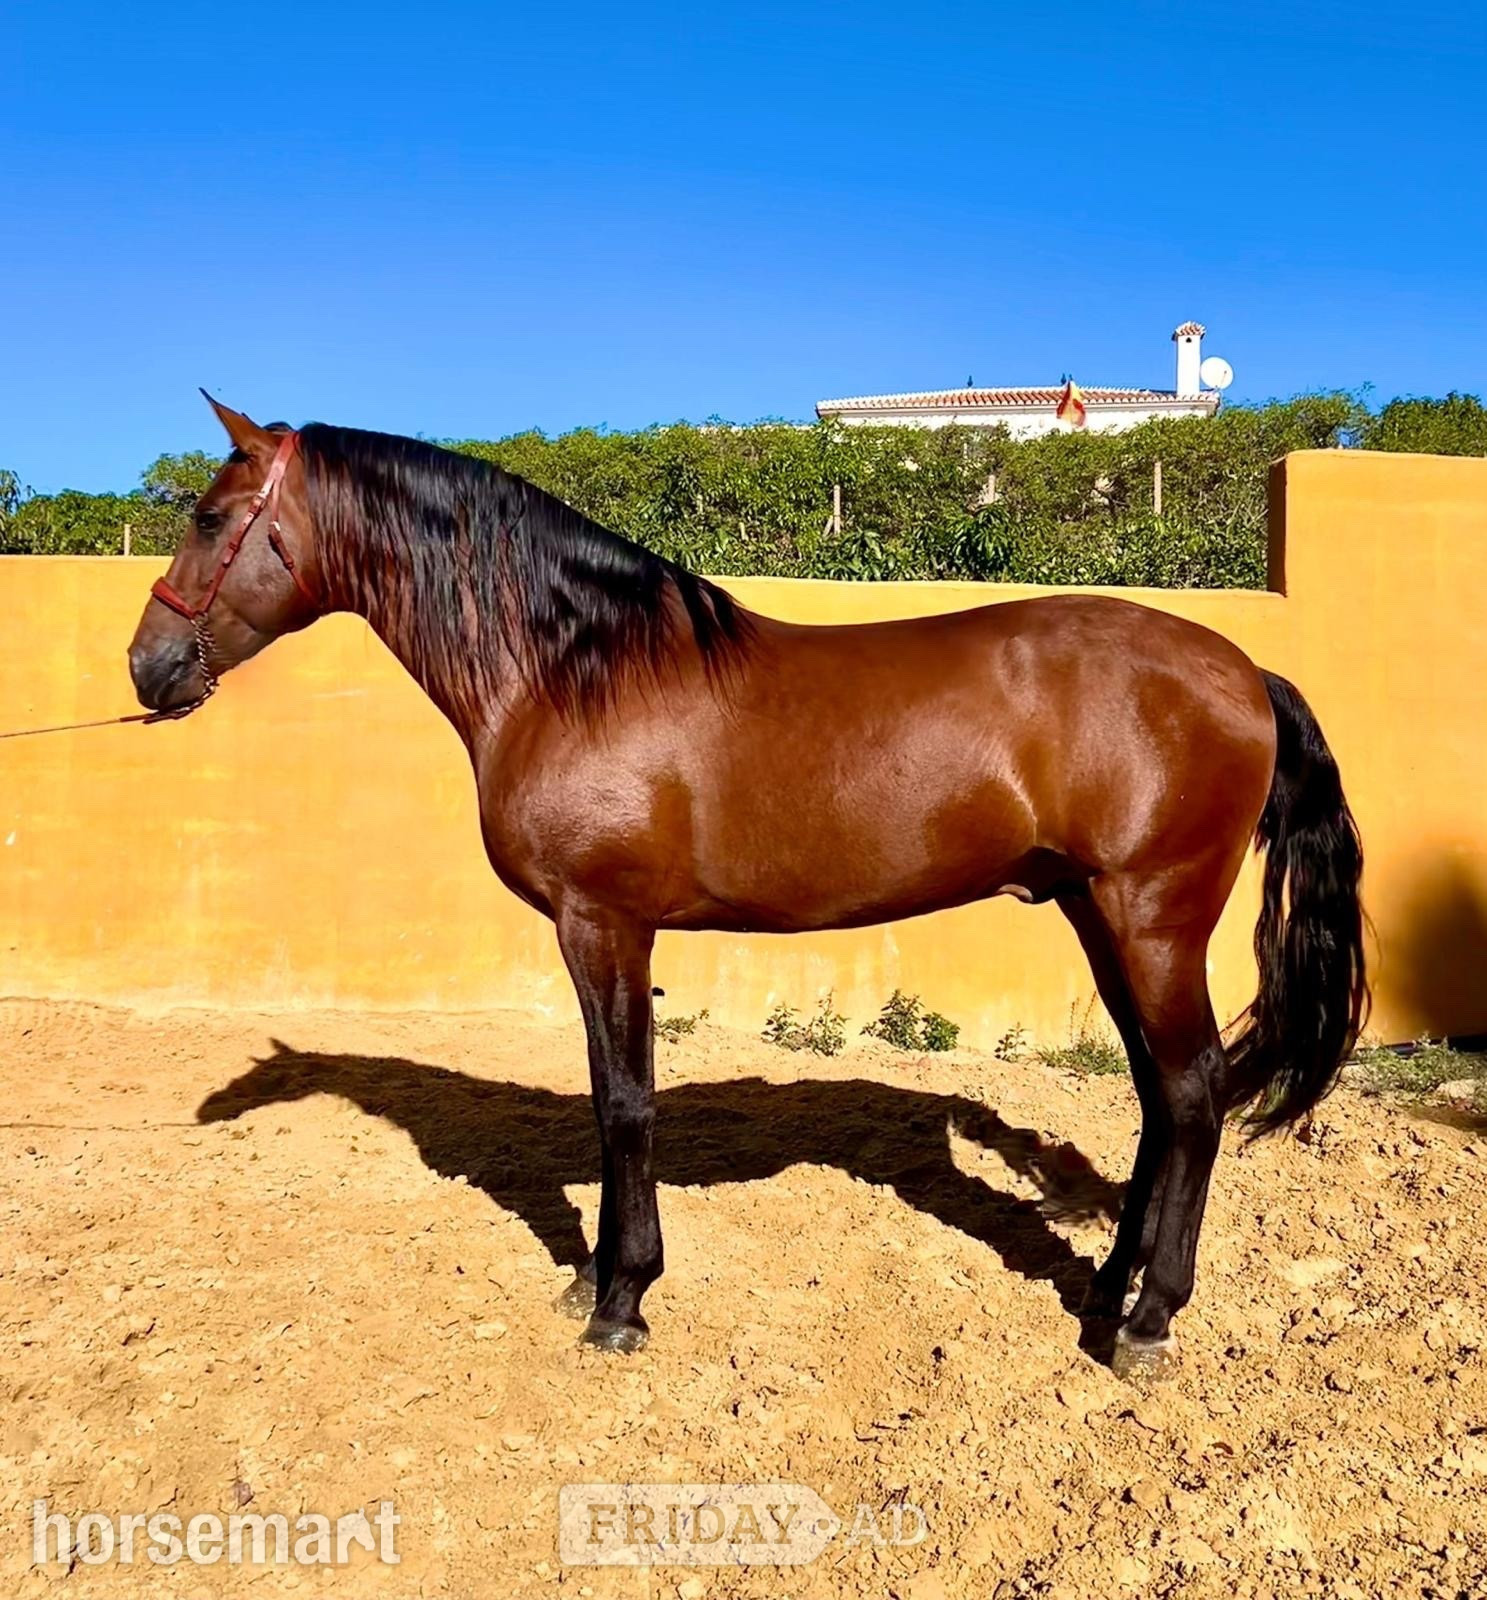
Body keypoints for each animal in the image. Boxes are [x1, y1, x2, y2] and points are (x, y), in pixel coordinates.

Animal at [127, 395, 1368, 1378]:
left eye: (207, 517)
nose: (147, 667)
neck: (570, 670)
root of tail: (1240, 671)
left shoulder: (604, 922)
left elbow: (622, 1103)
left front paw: (620, 1299)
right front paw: (595, 1279)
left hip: (1150, 914)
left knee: (1193, 1093)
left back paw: (1147, 1320)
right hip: (1096, 913)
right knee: (1160, 1095)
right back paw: (1109, 1287)